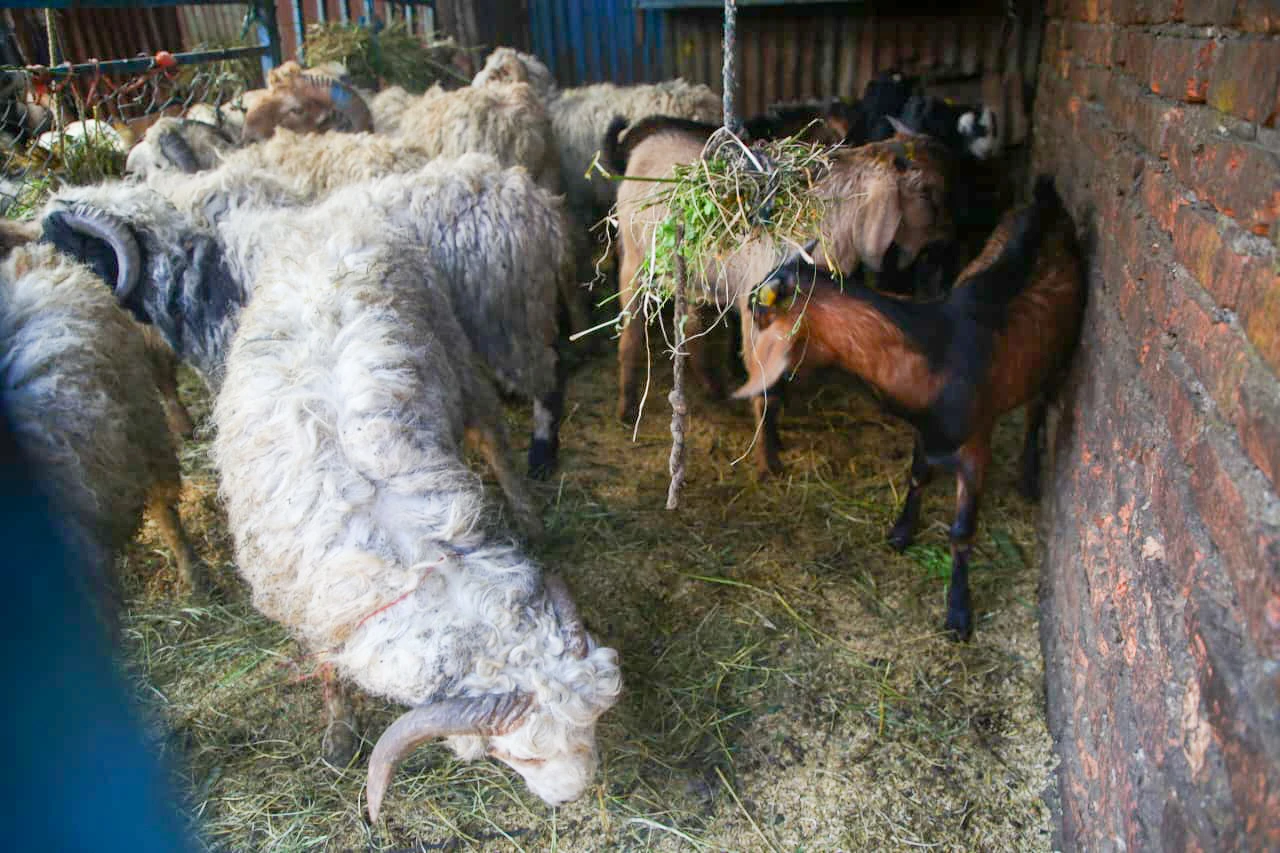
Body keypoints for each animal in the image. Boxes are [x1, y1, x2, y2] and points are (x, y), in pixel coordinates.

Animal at [733, 177, 1084, 638]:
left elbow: (961, 530)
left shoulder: (976, 443)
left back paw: (1028, 476)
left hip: (1058, 356)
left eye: (759, 310)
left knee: (1037, 410)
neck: (937, 348)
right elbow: (917, 475)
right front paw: (901, 532)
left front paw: (958, 612)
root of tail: (1047, 202)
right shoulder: (923, 431)